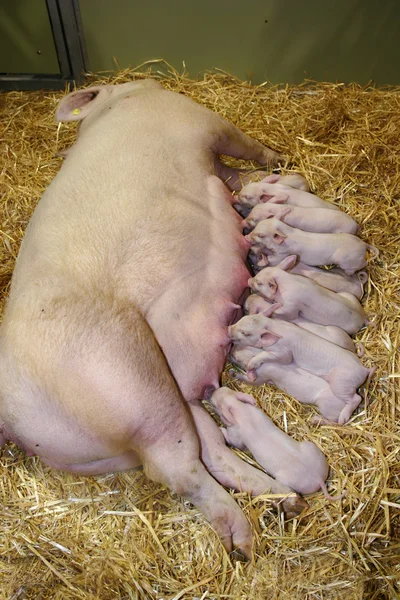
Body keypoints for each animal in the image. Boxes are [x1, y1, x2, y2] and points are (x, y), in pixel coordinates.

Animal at [209, 386, 344, 500]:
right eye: (227, 389)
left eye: (216, 405)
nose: (211, 393)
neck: (240, 410)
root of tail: (319, 478)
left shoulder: (236, 436)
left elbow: (234, 442)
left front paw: (220, 428)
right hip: (310, 446)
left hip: (286, 481)